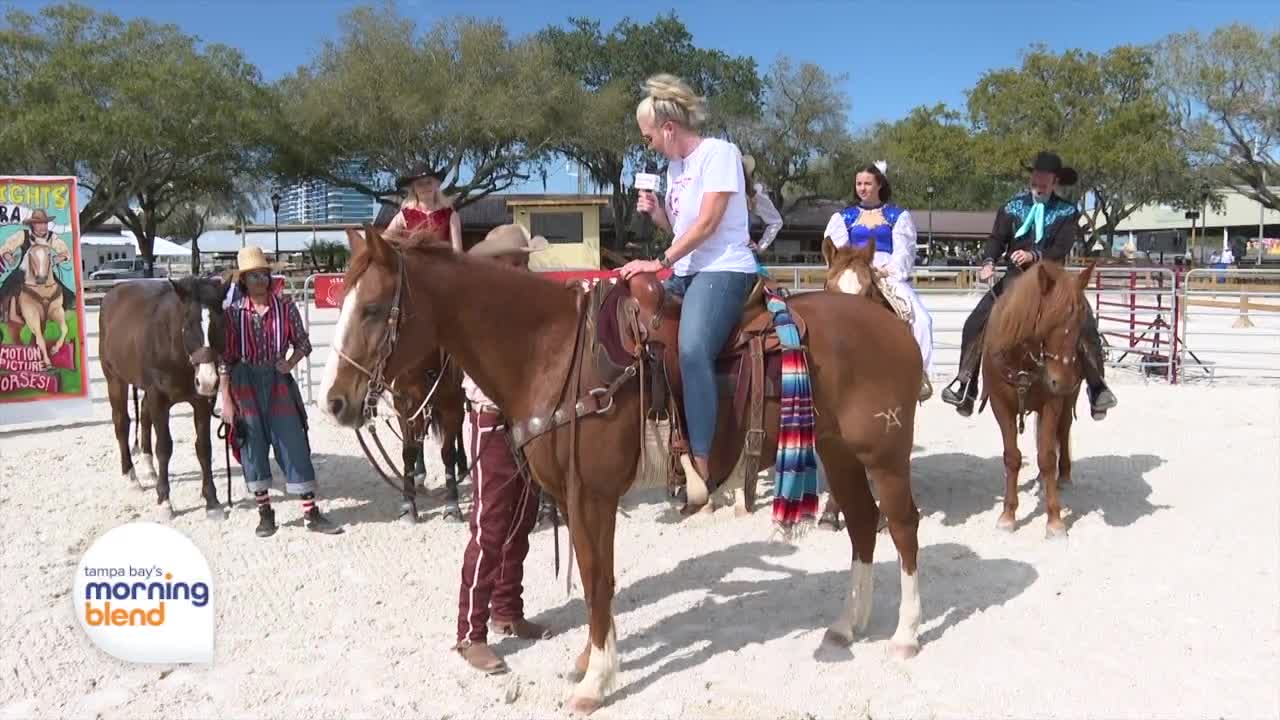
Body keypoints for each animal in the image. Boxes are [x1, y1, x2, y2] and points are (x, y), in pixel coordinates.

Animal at [101, 274, 231, 515]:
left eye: (220, 323)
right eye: (188, 325)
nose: (208, 381)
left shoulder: (202, 401)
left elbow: (204, 447)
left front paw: (212, 501)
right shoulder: (159, 398)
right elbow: (164, 447)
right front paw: (164, 501)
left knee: (143, 414)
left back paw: (149, 468)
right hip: (114, 379)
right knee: (122, 423)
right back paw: (131, 478)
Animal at [972, 260, 1095, 535]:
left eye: (1081, 321)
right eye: (1048, 320)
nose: (1062, 381)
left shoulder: (1052, 403)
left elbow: (1047, 458)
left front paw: (1055, 521)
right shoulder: (1000, 405)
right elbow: (1012, 457)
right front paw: (1007, 515)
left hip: (1068, 400)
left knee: (1063, 431)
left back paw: (1064, 476)